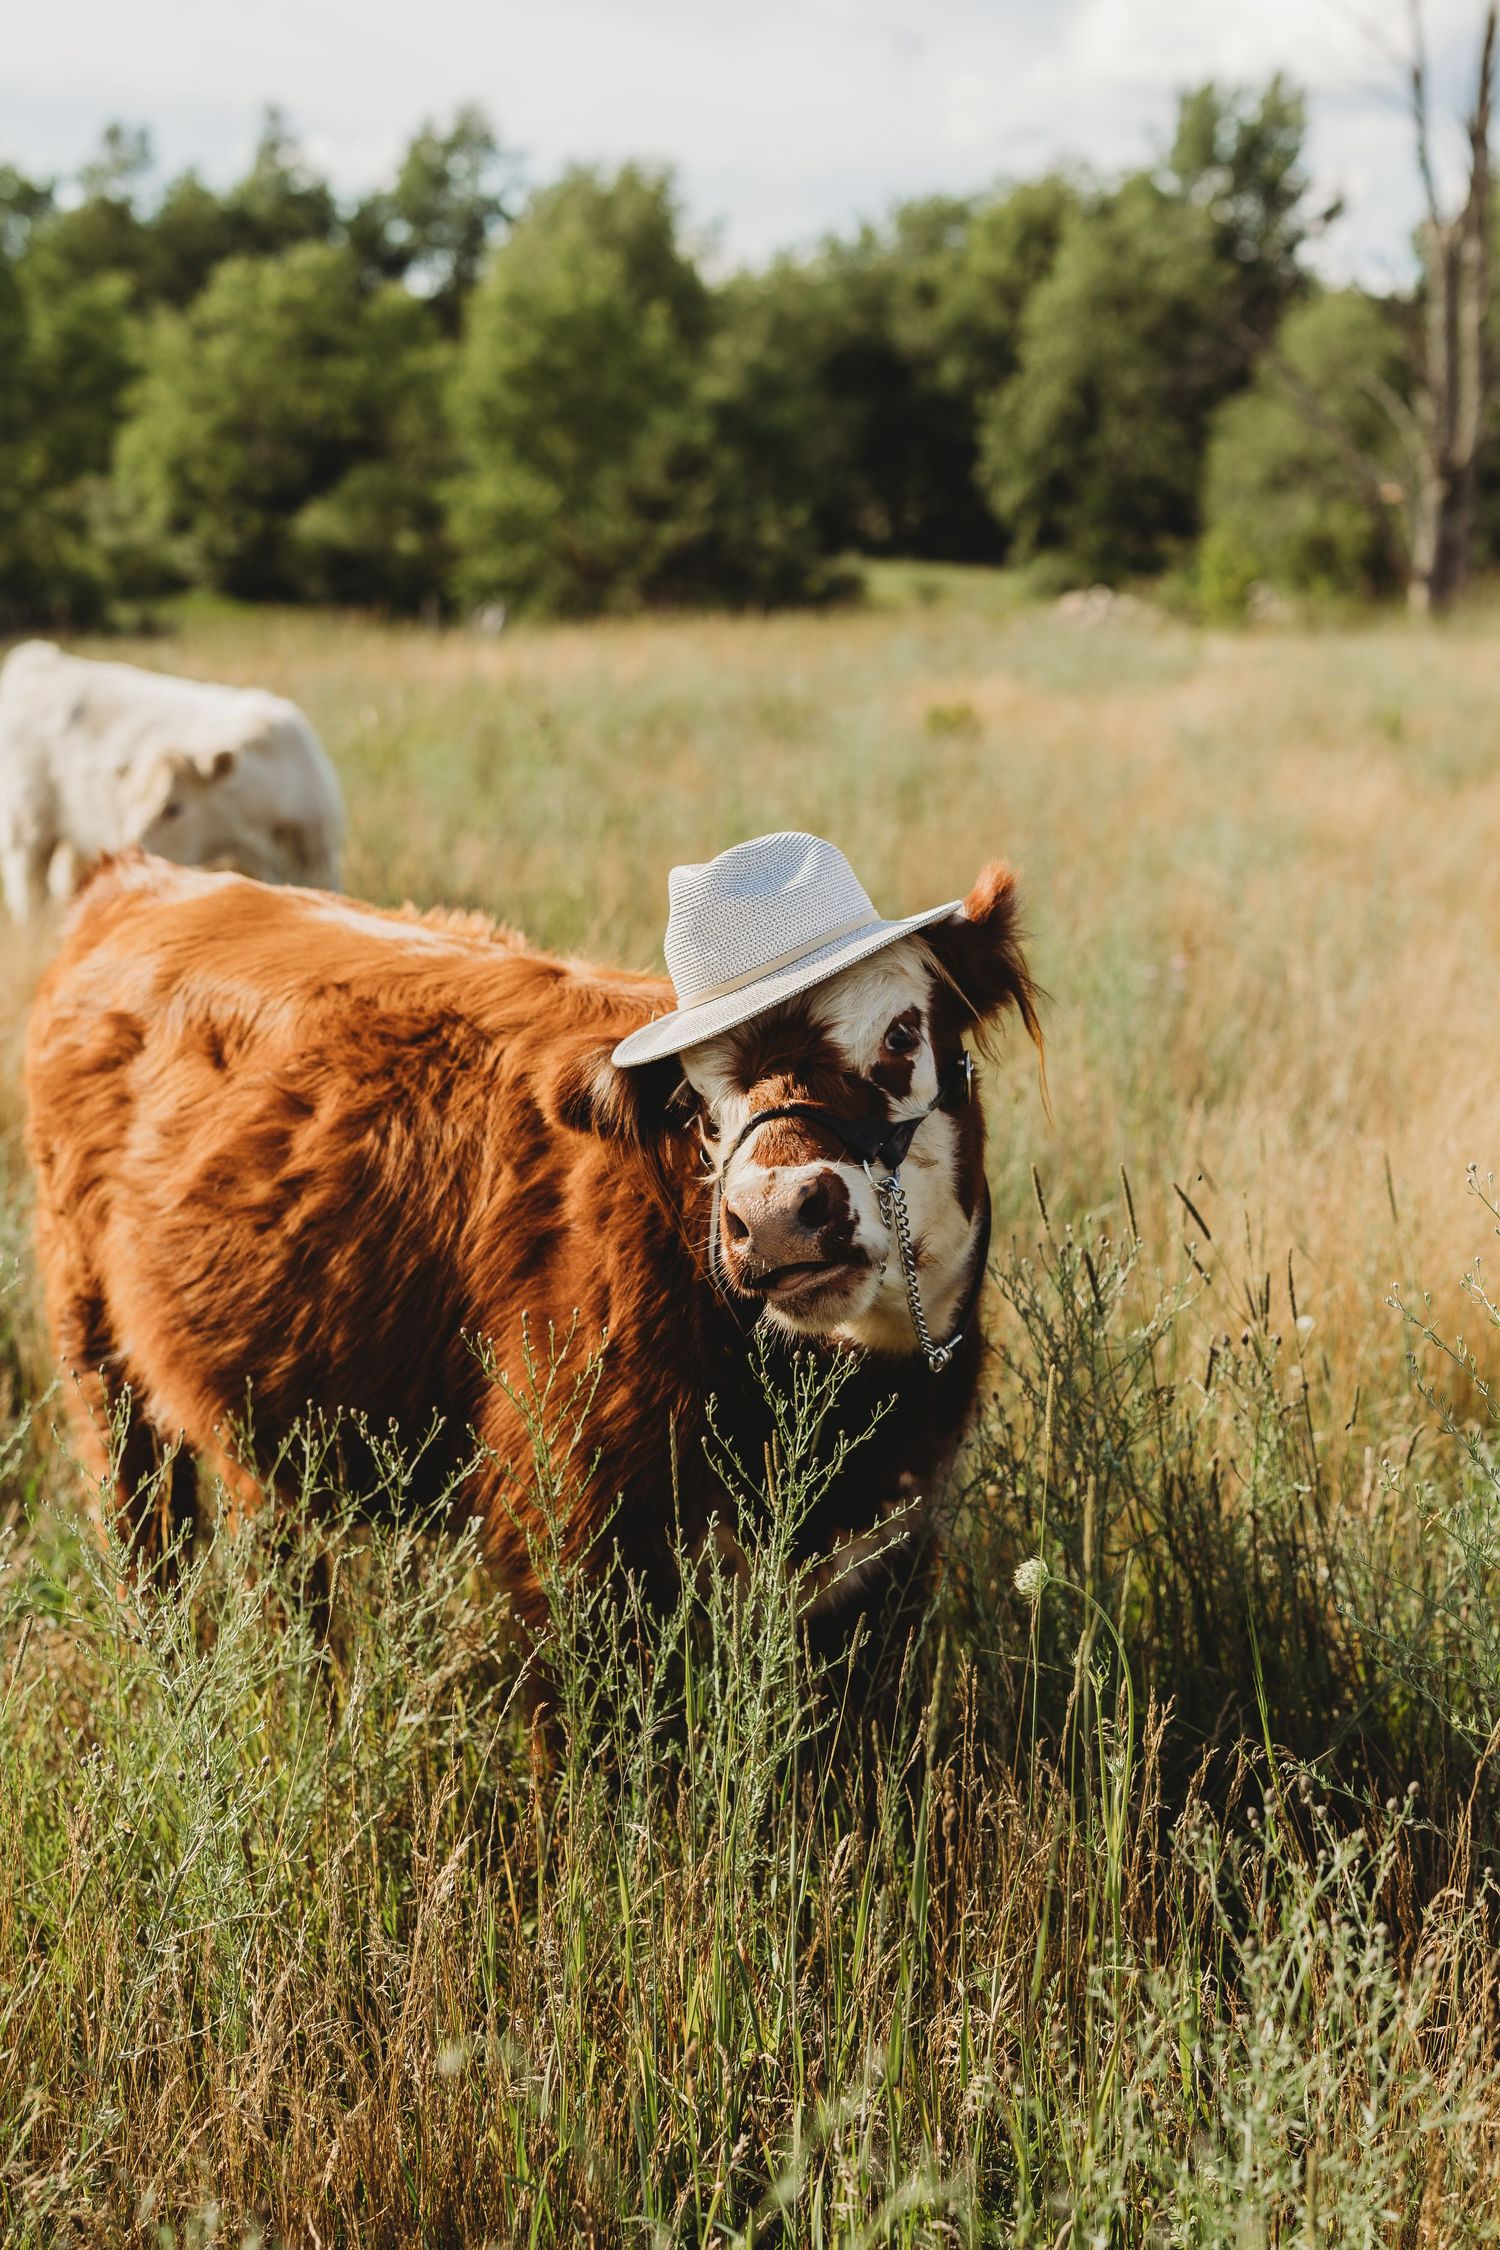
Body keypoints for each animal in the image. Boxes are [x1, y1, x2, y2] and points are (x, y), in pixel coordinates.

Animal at [0, 642, 345, 921]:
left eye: (175, 808)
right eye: (129, 803)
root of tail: (40, 659)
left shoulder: (321, 859)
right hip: (27, 830)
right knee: (29, 891)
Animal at [24, 843, 1039, 1702]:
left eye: (901, 1034)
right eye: (695, 1107)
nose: (779, 1215)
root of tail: (145, 878)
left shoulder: (885, 1559)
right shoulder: (571, 1549)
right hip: (98, 1360)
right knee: (145, 1535)